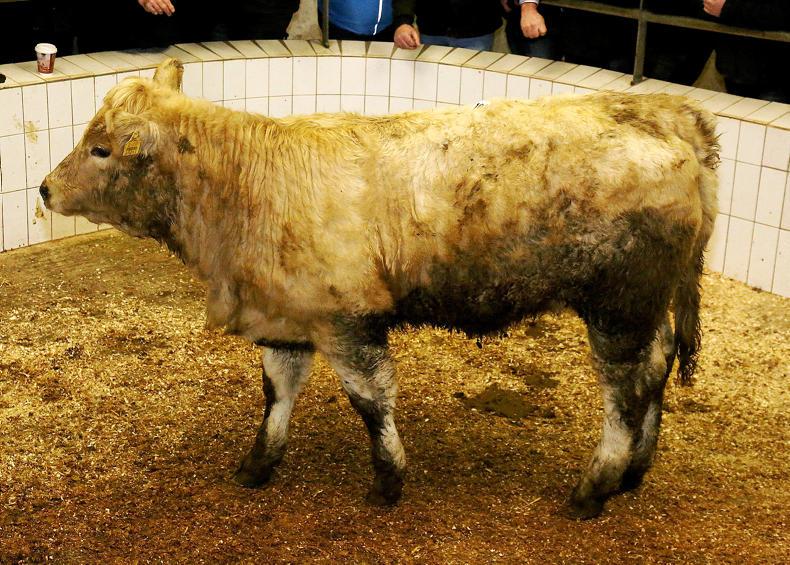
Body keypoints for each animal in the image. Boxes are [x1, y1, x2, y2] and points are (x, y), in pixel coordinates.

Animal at [42, 58, 719, 519]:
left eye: (101, 148)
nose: (46, 189)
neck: (250, 182)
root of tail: (667, 114)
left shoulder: (348, 319)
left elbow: (371, 401)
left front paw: (389, 479)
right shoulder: (287, 314)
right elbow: (277, 393)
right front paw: (259, 464)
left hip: (617, 308)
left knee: (624, 394)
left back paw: (593, 487)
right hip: (646, 306)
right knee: (657, 365)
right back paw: (634, 471)